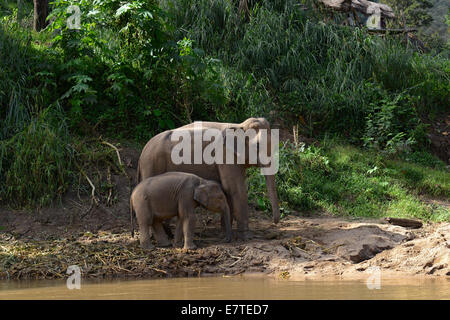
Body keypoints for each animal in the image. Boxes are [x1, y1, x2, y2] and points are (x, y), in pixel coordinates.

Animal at [135, 116, 280, 239]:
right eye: (257, 146)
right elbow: (235, 189)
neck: (239, 125)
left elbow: (228, 190)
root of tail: (142, 154)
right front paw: (247, 237)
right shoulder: (225, 155)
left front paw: (225, 233)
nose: (274, 223)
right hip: (151, 165)